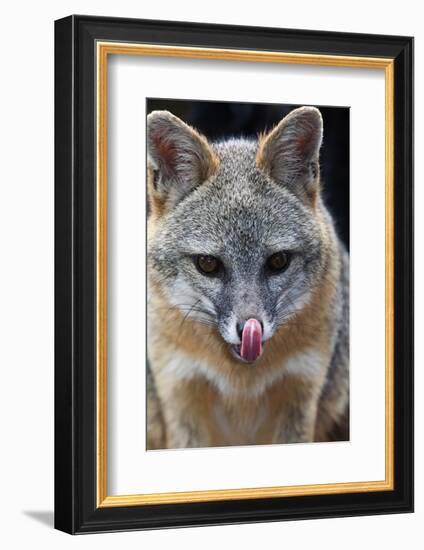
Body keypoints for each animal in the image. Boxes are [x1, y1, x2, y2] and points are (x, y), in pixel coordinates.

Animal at [145, 105, 348, 450]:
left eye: (278, 261)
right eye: (208, 264)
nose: (250, 329)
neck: (241, 382)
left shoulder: (300, 391)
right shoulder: (180, 391)